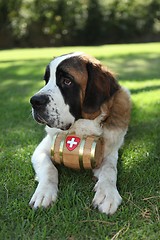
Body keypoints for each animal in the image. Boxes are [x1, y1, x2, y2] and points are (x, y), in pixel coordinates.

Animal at [29, 51, 131, 215]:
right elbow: (49, 168)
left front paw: (107, 194)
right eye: (46, 80)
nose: (34, 101)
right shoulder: (42, 149)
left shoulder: (109, 151)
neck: (81, 127)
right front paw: (44, 193)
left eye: (66, 81)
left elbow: (109, 169)